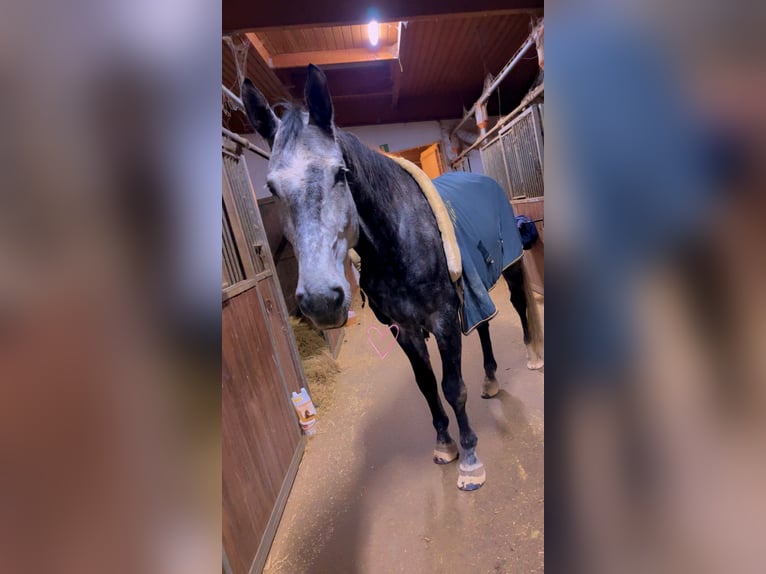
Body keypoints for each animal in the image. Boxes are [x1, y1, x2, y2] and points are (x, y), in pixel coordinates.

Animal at [241, 64, 543, 491]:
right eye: (271, 187)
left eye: (340, 174)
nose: (321, 300)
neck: (398, 238)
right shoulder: (404, 329)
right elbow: (427, 386)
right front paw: (445, 445)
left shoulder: (443, 319)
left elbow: (453, 387)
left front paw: (469, 460)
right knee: (483, 324)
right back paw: (490, 380)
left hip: (512, 268)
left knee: (517, 305)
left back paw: (532, 357)